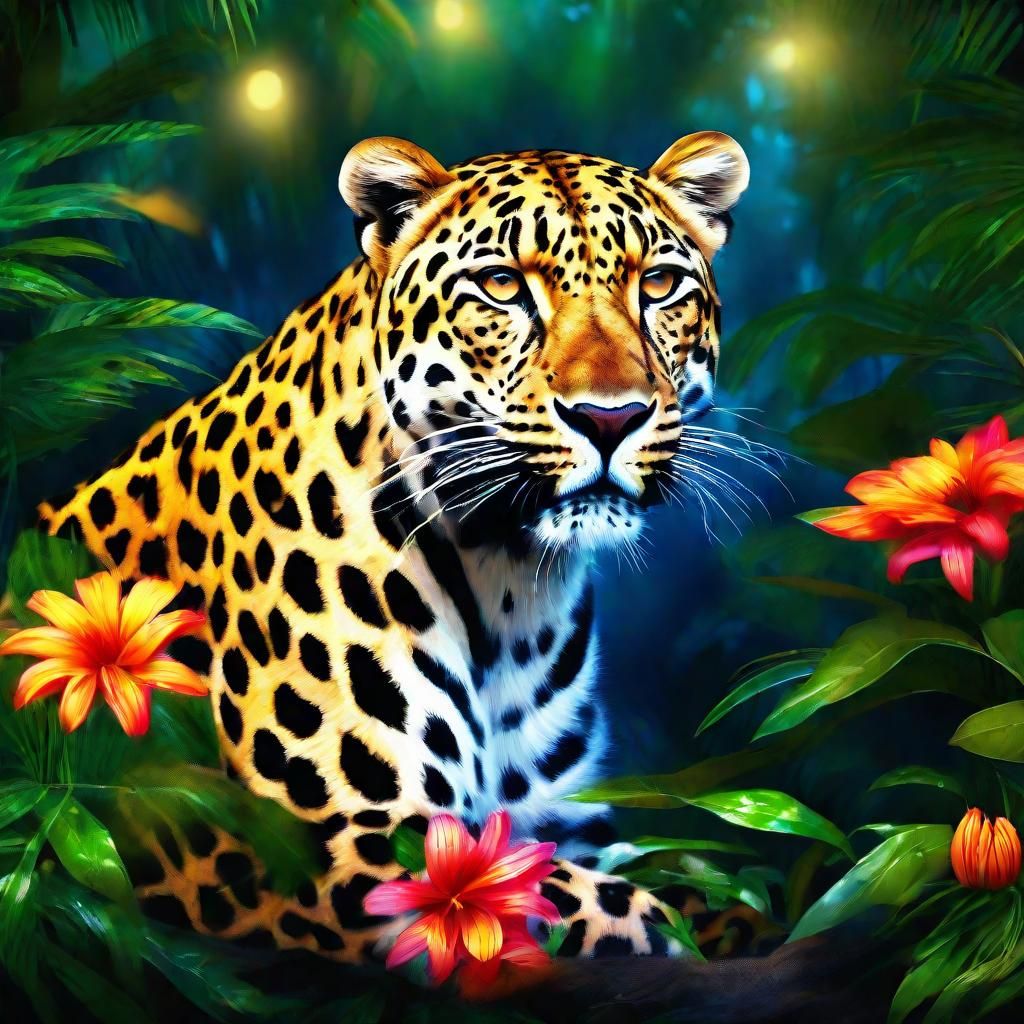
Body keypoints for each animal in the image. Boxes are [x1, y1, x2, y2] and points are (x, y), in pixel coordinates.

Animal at [38, 131, 753, 965]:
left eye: (661, 285)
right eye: (503, 287)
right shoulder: (341, 849)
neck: (509, 587)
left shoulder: (562, 825)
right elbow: (612, 913)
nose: (611, 418)